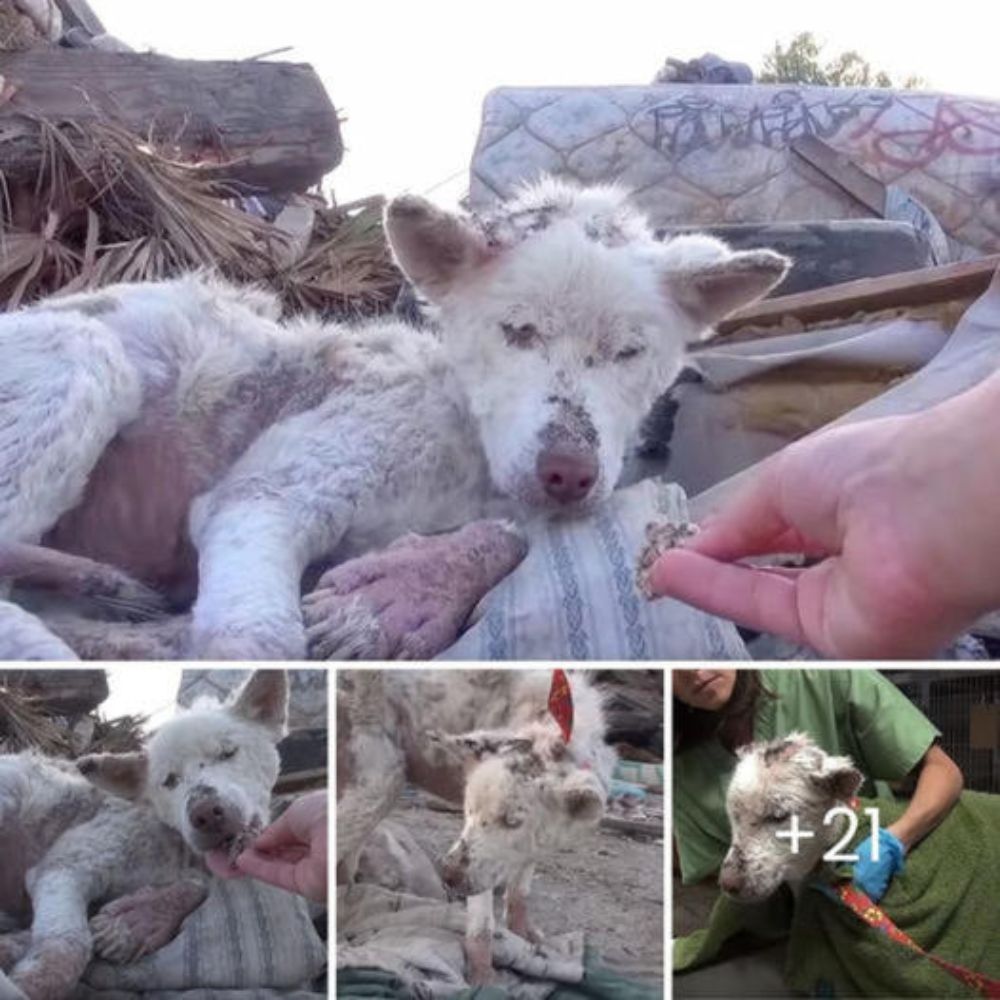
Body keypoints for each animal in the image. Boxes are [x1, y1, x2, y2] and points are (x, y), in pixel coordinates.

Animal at [0, 178, 788, 664]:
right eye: (516, 331)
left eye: (629, 352)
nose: (568, 472)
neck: (465, 442)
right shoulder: (270, 486)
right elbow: (258, 641)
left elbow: (506, 538)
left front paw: (401, 598)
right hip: (79, 358)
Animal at [0, 668, 290, 1000]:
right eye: (169, 781)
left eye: (228, 752)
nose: (205, 813)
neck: (175, 845)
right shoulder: (67, 862)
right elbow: (65, 948)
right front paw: (26, 982)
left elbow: (196, 887)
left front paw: (136, 922)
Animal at [340, 668, 612, 988]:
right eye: (469, 810)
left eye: (513, 821)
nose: (447, 875)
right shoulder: (477, 865)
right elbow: (483, 918)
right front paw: (484, 976)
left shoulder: (535, 841)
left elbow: (521, 889)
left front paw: (525, 934)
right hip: (377, 781)